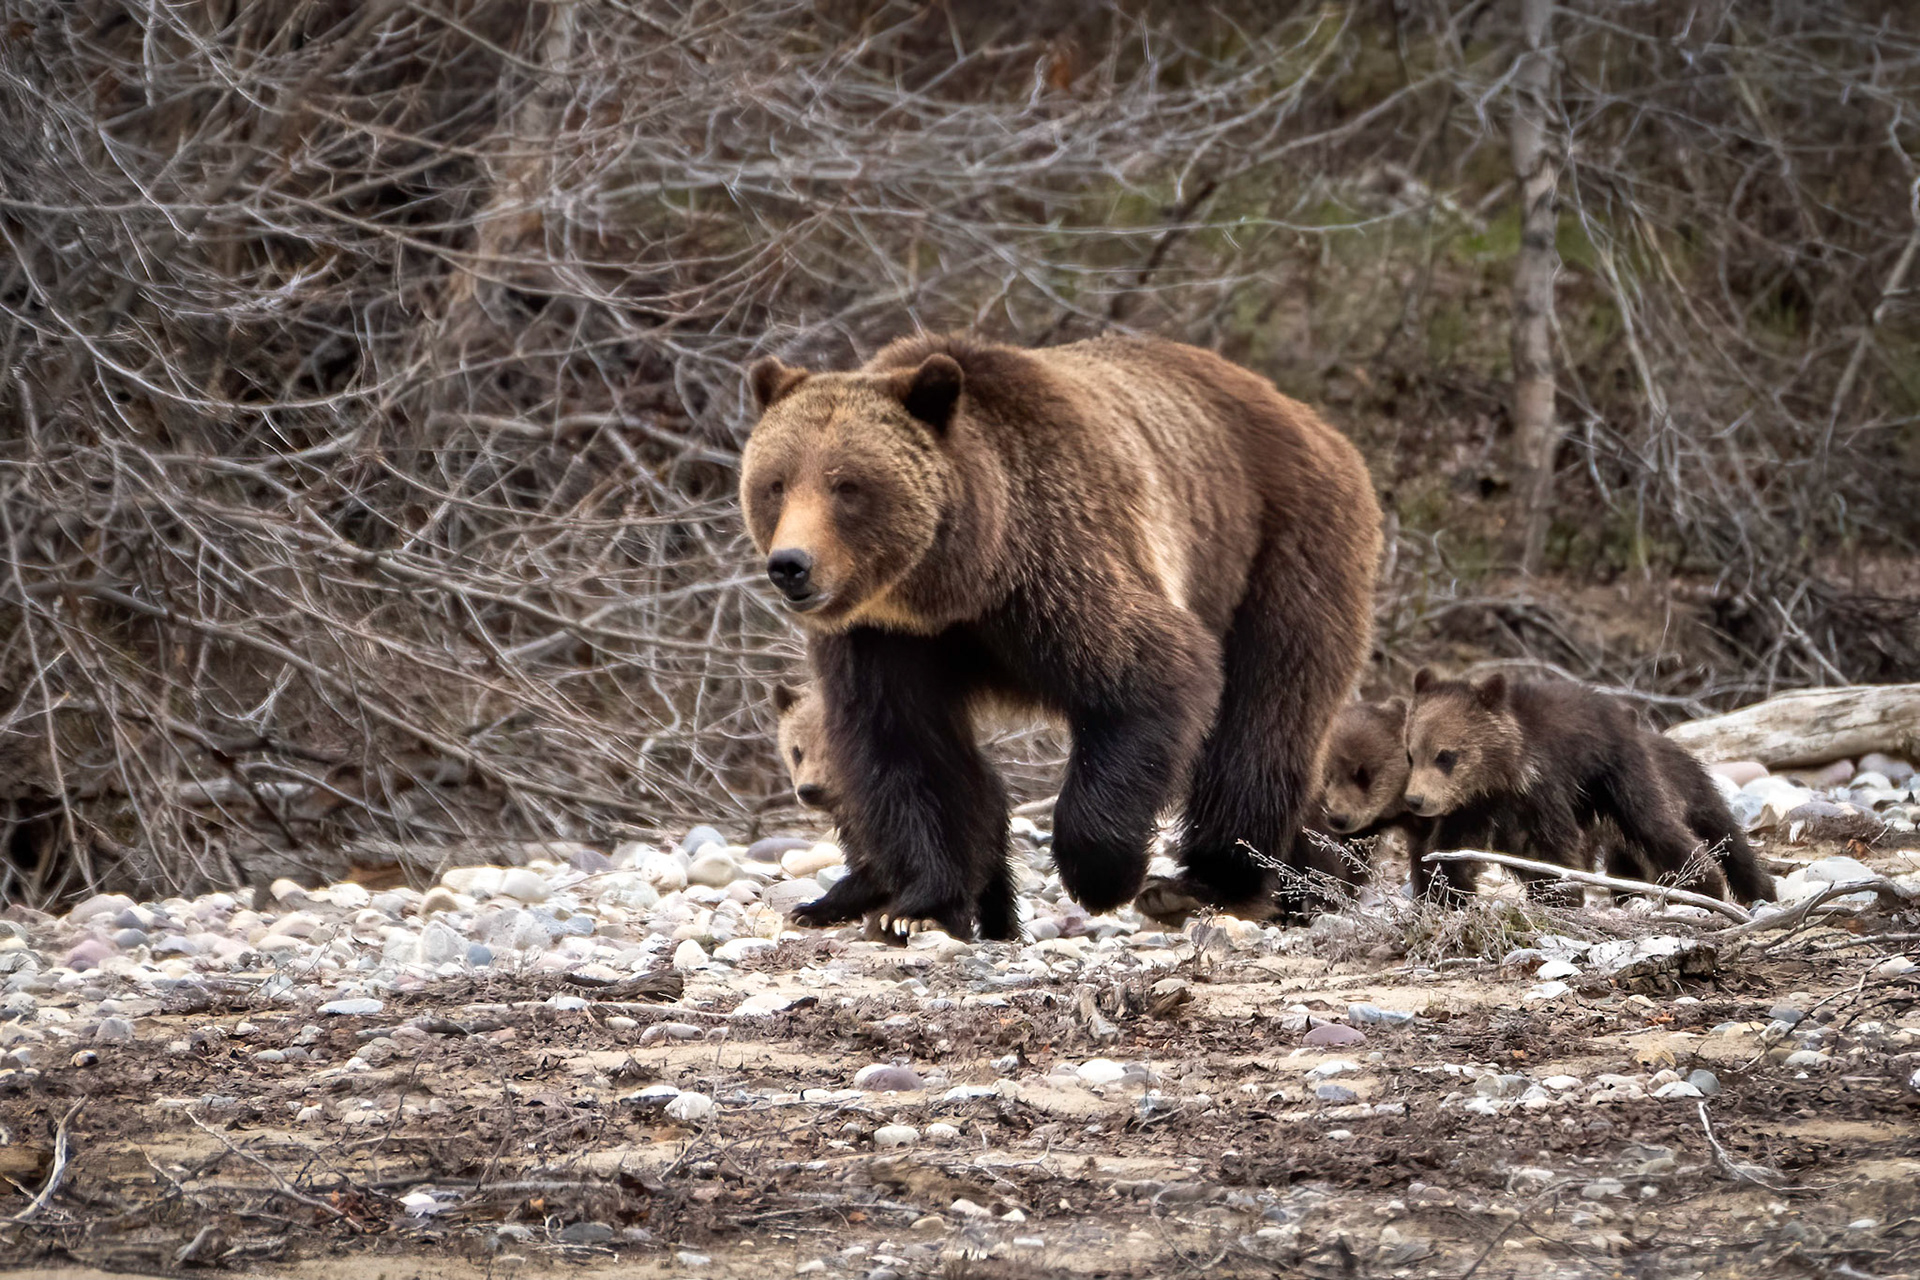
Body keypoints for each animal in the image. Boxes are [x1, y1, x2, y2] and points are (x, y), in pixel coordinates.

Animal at [739, 332, 1381, 940]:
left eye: (846, 485)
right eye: (775, 483)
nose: (791, 565)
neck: (956, 582)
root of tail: (1317, 424)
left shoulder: (1056, 563)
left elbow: (1151, 672)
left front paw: (1101, 876)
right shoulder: (884, 636)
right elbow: (907, 749)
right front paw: (918, 909)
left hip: (1278, 548)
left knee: (1263, 716)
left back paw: (1209, 881)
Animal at [1401, 669, 1775, 905]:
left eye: (1445, 756)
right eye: (1411, 754)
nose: (1415, 800)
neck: (1502, 772)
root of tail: (1625, 712)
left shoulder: (1542, 786)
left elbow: (1555, 846)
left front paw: (1562, 897)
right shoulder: (1470, 806)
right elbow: (1448, 851)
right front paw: (1445, 895)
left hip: (1618, 773)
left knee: (1662, 825)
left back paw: (1713, 885)